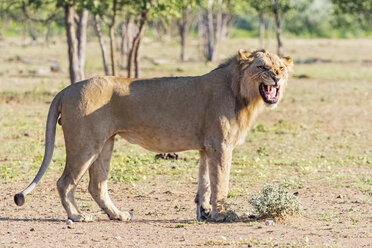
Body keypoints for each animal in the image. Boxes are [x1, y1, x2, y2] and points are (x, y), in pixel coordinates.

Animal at [13, 48, 294, 221]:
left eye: (281, 67)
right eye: (263, 66)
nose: (277, 78)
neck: (242, 93)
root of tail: (67, 88)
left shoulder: (207, 148)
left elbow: (204, 183)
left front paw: (204, 213)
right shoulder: (221, 146)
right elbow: (221, 184)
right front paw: (223, 214)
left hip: (105, 144)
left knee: (96, 185)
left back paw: (118, 215)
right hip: (85, 145)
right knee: (65, 182)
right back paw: (76, 216)